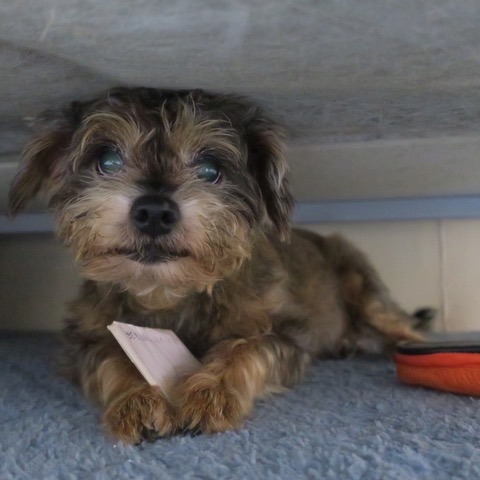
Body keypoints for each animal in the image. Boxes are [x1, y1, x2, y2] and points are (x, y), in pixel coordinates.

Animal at [8, 87, 428, 444]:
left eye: (210, 168)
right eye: (108, 160)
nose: (154, 211)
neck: (169, 293)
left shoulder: (288, 333)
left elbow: (244, 349)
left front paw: (210, 393)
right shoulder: (84, 340)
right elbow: (115, 357)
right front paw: (137, 401)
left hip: (364, 287)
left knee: (401, 326)